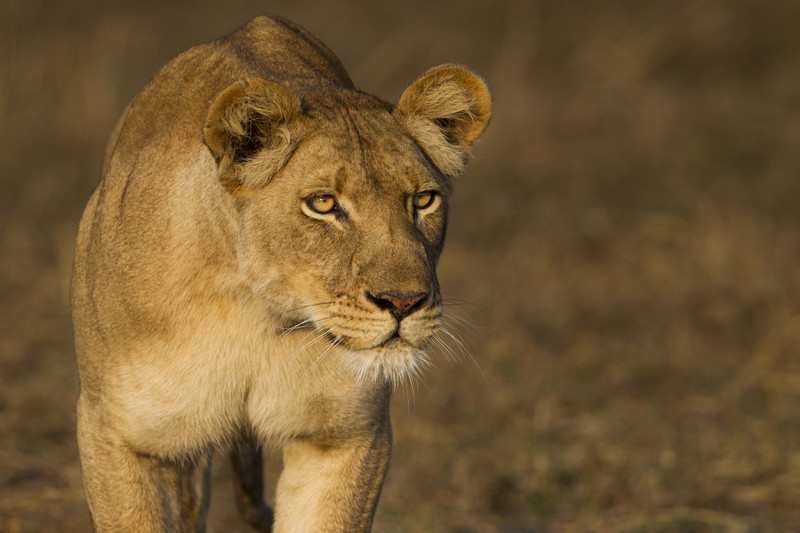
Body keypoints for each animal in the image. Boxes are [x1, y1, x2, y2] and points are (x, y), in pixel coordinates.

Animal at [71, 15, 490, 532]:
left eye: (423, 200)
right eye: (323, 204)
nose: (403, 303)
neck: (258, 315)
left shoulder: (346, 434)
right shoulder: (119, 434)